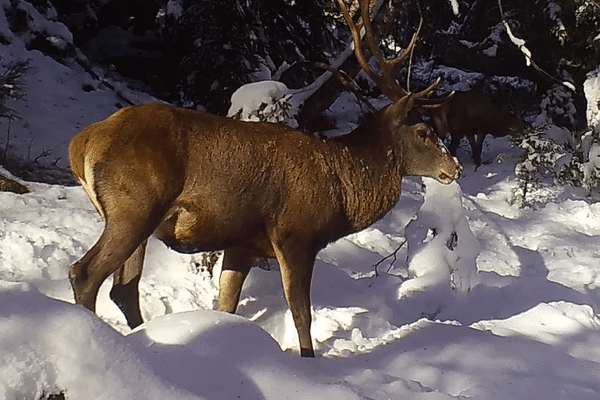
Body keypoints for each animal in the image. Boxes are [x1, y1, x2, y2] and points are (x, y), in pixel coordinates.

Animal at [68, 0, 462, 358]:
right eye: (424, 132)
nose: (455, 167)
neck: (342, 191)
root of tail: (80, 143)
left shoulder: (243, 243)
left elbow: (226, 305)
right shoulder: (295, 234)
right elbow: (301, 312)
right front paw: (307, 361)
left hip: (139, 218)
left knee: (124, 288)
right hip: (134, 205)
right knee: (85, 273)